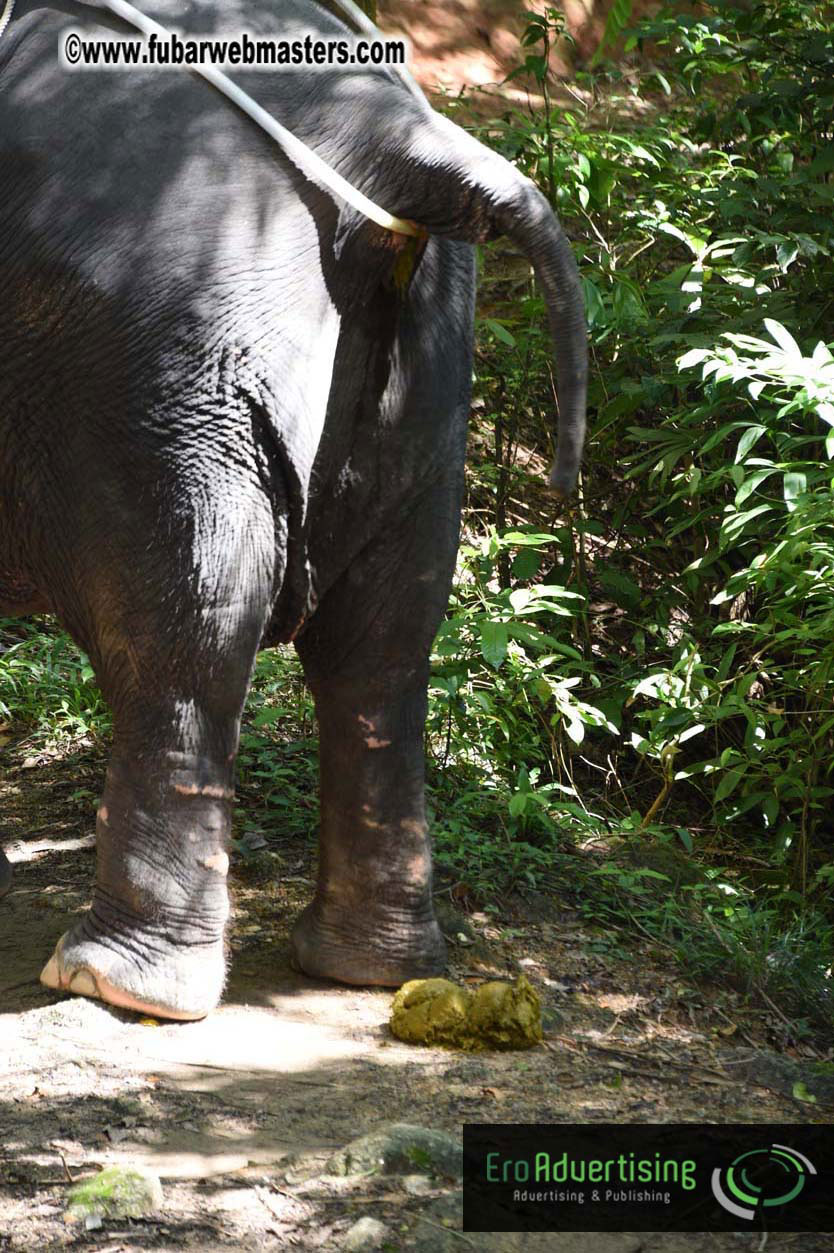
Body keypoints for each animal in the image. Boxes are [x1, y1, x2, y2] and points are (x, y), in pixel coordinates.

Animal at [0, 0, 586, 1019]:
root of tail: (398, 140)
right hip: (431, 369)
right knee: (384, 649)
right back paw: (371, 965)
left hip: (160, 371)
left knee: (179, 637)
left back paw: (115, 982)